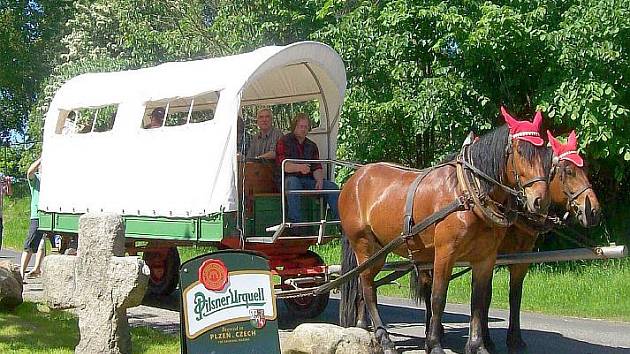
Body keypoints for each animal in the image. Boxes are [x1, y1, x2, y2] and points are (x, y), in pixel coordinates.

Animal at [338, 110, 552, 354]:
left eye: (545, 154)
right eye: (520, 151)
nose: (540, 201)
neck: (468, 192)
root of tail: (354, 179)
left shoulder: (486, 258)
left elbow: (478, 302)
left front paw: (478, 346)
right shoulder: (444, 253)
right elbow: (438, 298)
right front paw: (434, 344)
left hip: (378, 251)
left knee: (365, 286)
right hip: (364, 246)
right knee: (368, 288)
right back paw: (384, 339)